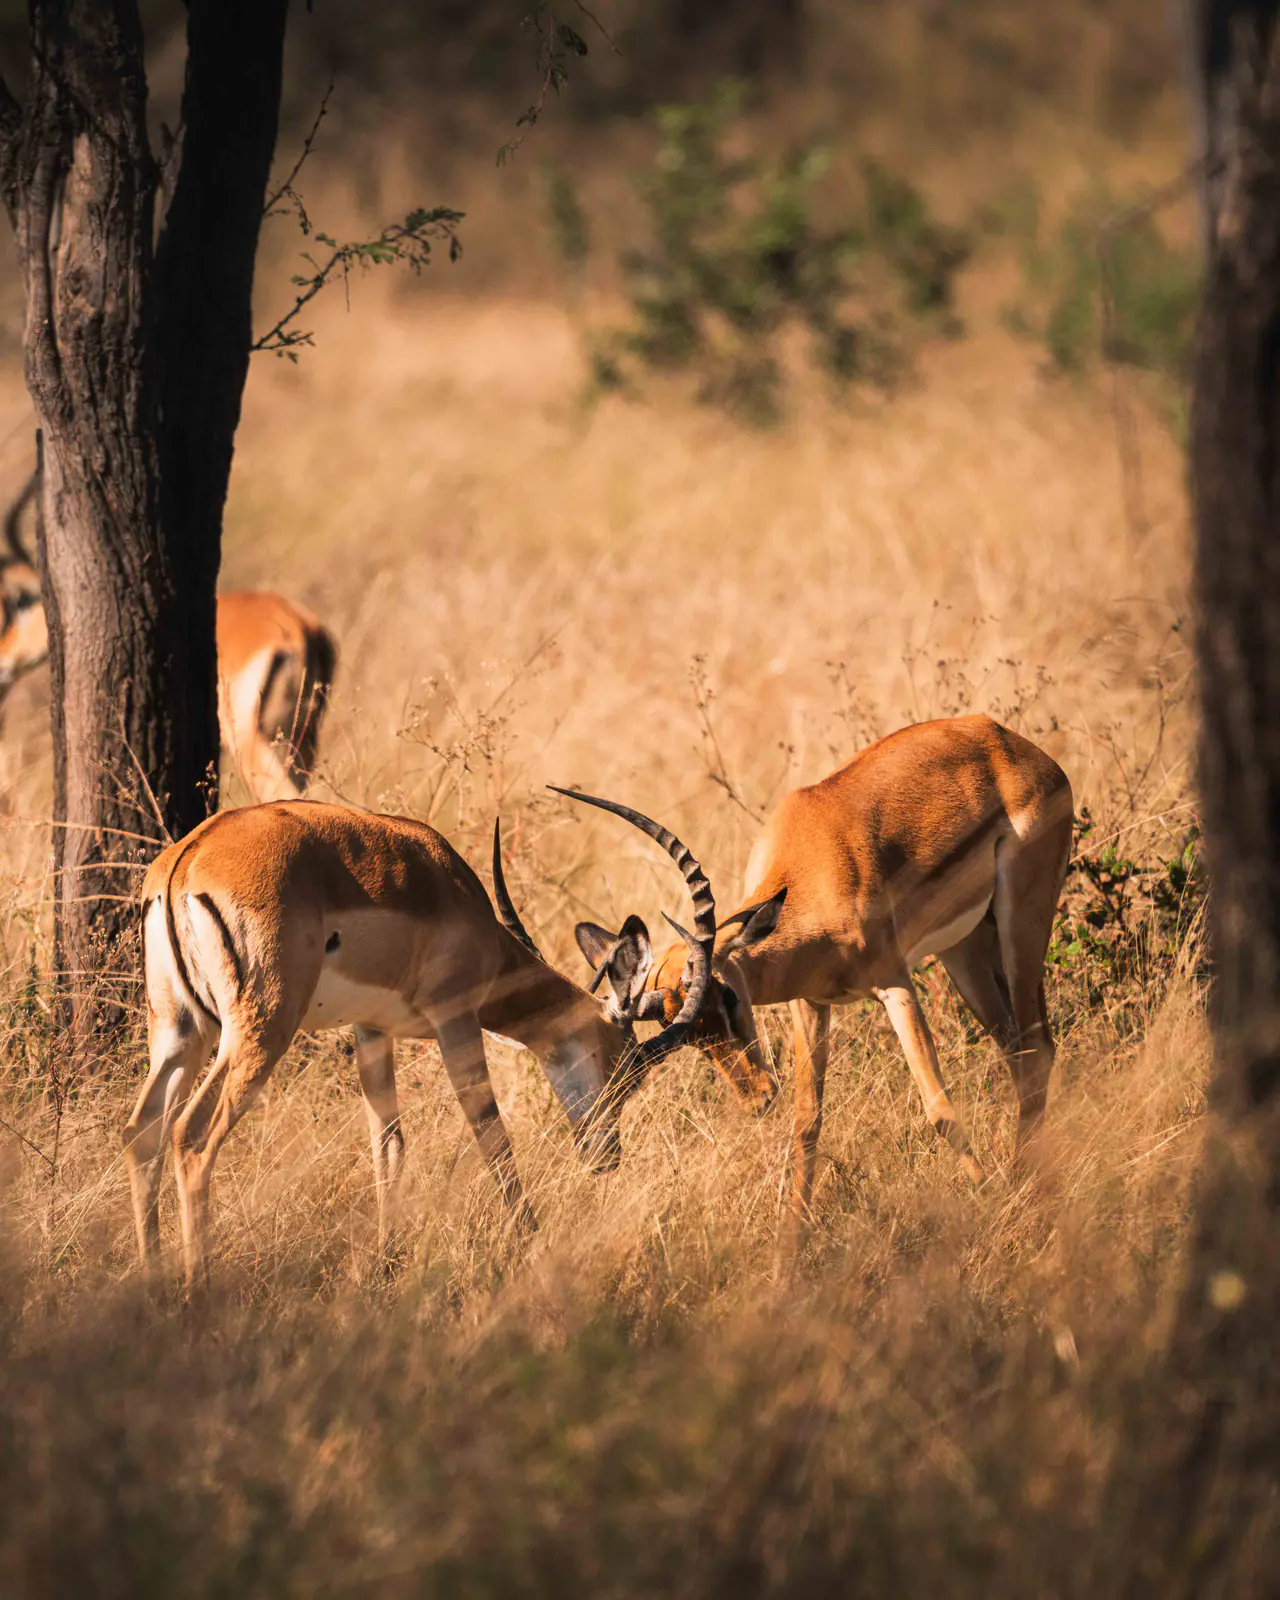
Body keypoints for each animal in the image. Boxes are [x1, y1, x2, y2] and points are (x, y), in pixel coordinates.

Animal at [122, 794, 718, 1286]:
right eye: (627, 1067)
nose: (605, 1157)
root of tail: (187, 860)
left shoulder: (371, 1029)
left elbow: (389, 1146)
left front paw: (385, 1266)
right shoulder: (456, 1019)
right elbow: (493, 1139)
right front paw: (533, 1244)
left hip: (179, 1033)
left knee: (141, 1132)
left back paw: (152, 1287)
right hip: (260, 1030)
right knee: (192, 1136)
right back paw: (198, 1292)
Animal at [553, 716, 1074, 1230]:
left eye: (728, 997)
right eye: (687, 1036)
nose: (759, 1098)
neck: (812, 877)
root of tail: (1006, 739)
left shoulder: (895, 983)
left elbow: (940, 1109)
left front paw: (987, 1200)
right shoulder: (809, 1002)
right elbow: (807, 1125)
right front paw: (791, 1246)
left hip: (1020, 924)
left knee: (1038, 1049)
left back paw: (1026, 1190)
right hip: (964, 947)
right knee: (1018, 1050)